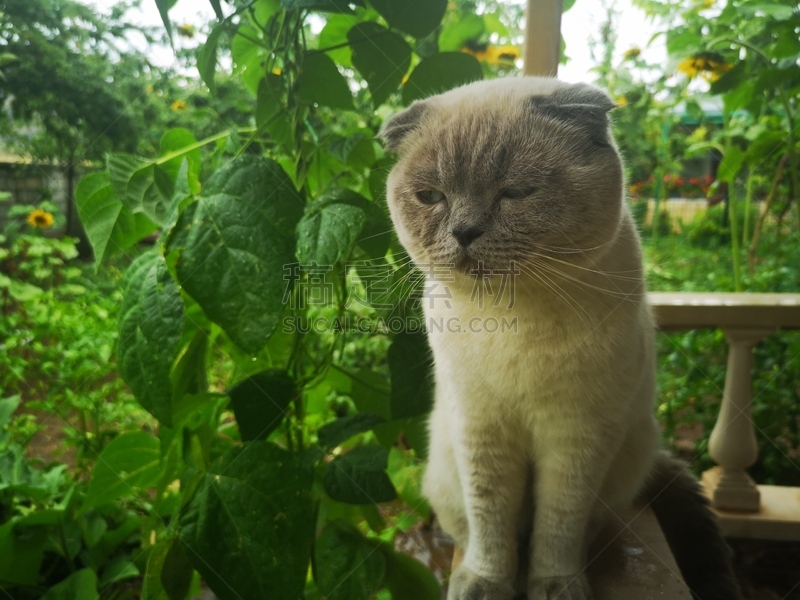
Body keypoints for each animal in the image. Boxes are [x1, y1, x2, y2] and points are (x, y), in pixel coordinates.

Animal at [378, 77, 740, 600]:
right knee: (466, 527)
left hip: (625, 459)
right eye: (430, 196)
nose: (464, 232)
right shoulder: (481, 430)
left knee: (583, 527)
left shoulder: (577, 434)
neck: (512, 320)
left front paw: (553, 585)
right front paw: (488, 583)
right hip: (443, 460)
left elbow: (559, 525)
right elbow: (490, 521)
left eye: (516, 192)